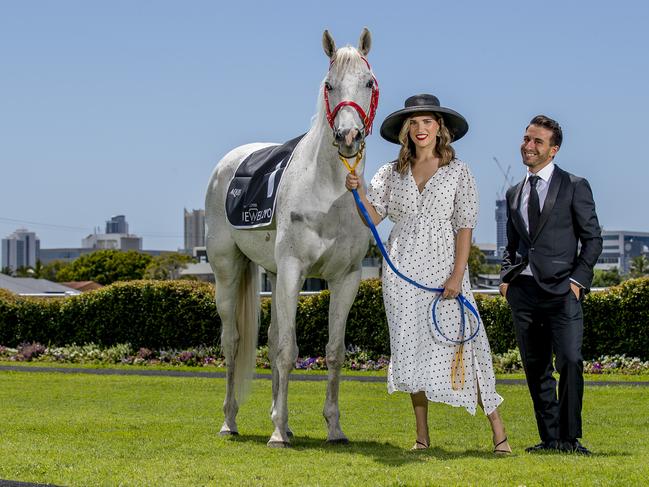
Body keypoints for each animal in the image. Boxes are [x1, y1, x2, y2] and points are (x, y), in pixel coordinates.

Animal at [205, 27, 378, 446]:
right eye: (329, 84)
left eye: (368, 82)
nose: (348, 136)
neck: (328, 191)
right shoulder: (293, 270)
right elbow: (287, 349)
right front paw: (277, 433)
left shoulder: (345, 278)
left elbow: (334, 351)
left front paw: (333, 427)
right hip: (228, 271)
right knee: (233, 341)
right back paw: (230, 421)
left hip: (271, 273)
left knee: (268, 339)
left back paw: (281, 421)